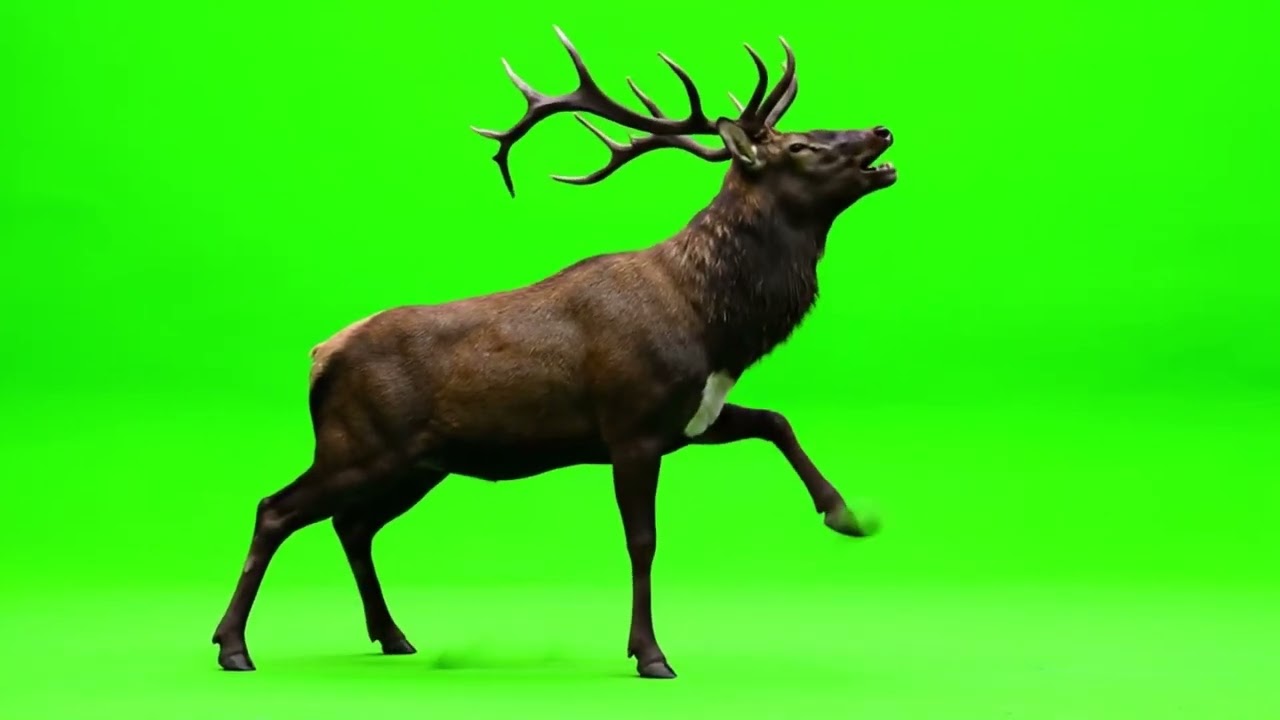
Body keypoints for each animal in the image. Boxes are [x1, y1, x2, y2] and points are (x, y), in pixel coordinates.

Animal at [211, 27, 897, 680]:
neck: (712, 326)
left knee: (352, 525)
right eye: (799, 147)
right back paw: (233, 646)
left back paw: (392, 635)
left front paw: (847, 516)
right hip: (359, 443)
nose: (882, 131)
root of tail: (319, 356)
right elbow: (642, 540)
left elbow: (775, 421)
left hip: (416, 462)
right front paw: (650, 654)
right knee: (277, 509)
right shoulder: (631, 424)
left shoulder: (692, 417)